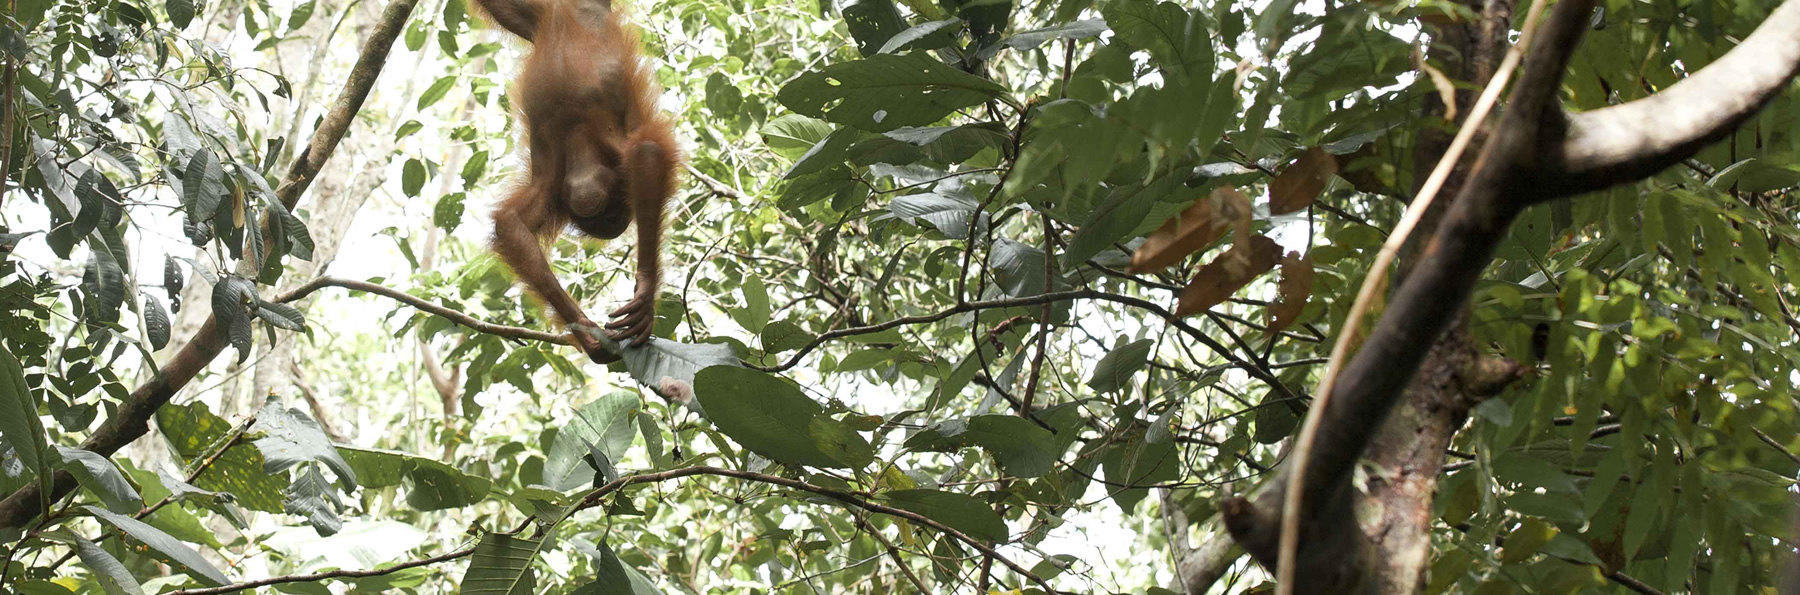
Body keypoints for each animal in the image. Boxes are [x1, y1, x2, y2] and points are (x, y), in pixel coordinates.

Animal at [472, 0, 680, 363]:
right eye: (609, 218)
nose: (610, 218)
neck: (578, 139)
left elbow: (649, 153)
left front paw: (644, 288)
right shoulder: (552, 187)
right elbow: (511, 225)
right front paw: (586, 331)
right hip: (534, 19)